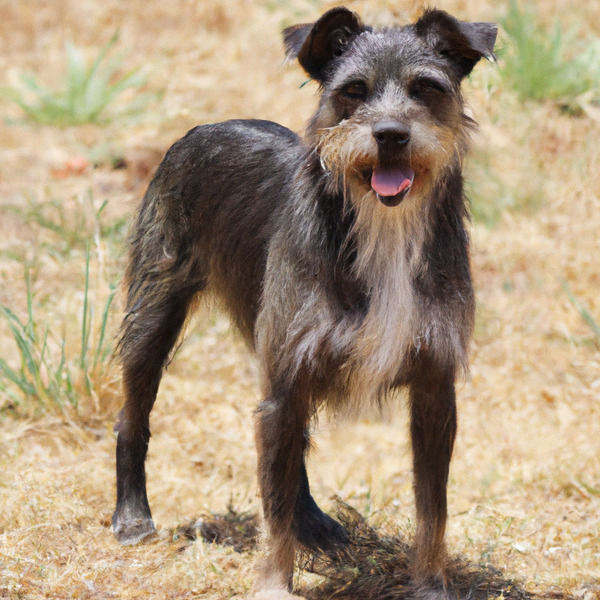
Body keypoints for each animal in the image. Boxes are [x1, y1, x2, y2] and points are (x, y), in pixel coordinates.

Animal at [112, 5, 496, 600]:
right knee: (132, 418)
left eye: (426, 88)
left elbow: (433, 508)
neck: (381, 227)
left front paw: (431, 584)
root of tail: (202, 128)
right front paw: (274, 584)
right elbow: (271, 510)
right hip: (152, 318)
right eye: (354, 91)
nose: (390, 135)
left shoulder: (434, 388)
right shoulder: (286, 378)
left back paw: (313, 524)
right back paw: (132, 517)